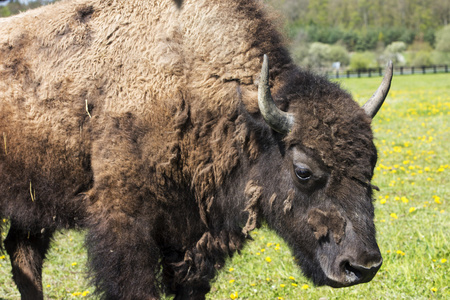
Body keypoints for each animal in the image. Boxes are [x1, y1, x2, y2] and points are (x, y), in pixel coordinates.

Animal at [0, 0, 392, 298]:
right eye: (303, 171)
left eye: (371, 164)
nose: (362, 266)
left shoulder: (195, 237)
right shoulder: (124, 224)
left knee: (23, 254)